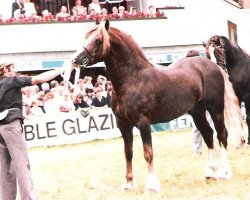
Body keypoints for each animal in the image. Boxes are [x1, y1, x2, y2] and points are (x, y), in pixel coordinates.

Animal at [68, 20, 242, 192]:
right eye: (86, 36)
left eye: (98, 40)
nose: (75, 60)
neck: (132, 79)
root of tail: (213, 66)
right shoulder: (123, 124)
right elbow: (128, 152)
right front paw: (128, 183)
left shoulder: (143, 123)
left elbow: (148, 153)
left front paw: (152, 185)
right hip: (197, 112)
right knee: (208, 135)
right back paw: (210, 173)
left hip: (216, 109)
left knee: (222, 135)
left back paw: (224, 172)